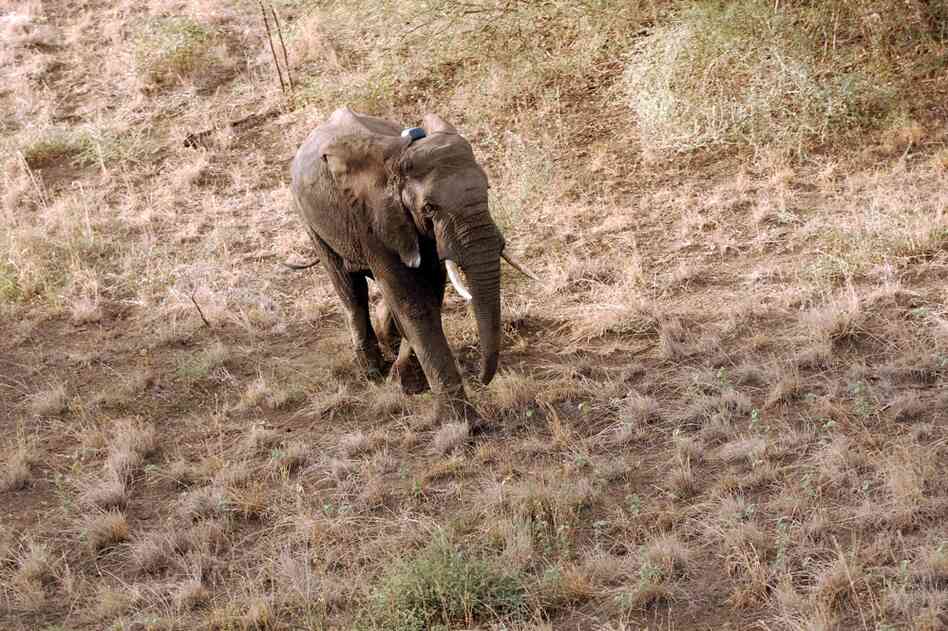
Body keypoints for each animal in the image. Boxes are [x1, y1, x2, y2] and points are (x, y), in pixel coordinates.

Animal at [289, 107, 538, 420]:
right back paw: (372, 371)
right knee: (350, 289)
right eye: (429, 208)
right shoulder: (373, 217)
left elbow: (430, 290)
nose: (482, 379)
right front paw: (462, 422)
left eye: (488, 189)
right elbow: (413, 302)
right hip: (310, 220)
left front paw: (411, 383)